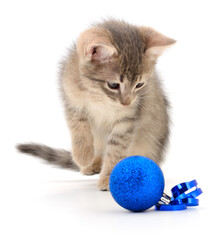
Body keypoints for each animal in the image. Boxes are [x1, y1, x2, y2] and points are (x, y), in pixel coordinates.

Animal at [17, 19, 175, 190]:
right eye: (113, 85)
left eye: (139, 84)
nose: (126, 102)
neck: (99, 97)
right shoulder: (71, 101)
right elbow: (78, 127)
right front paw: (83, 155)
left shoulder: (127, 120)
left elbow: (116, 149)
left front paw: (109, 177)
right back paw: (92, 163)